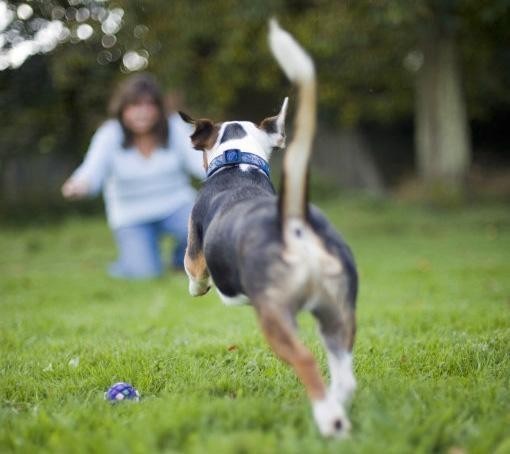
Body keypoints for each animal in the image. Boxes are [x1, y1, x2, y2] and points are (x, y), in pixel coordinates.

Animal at [179, 20, 358, 436]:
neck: (237, 163)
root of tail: (293, 223)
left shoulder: (195, 251)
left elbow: (193, 272)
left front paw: (199, 288)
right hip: (338, 312)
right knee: (345, 376)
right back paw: (336, 411)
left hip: (276, 316)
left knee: (306, 361)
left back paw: (328, 419)